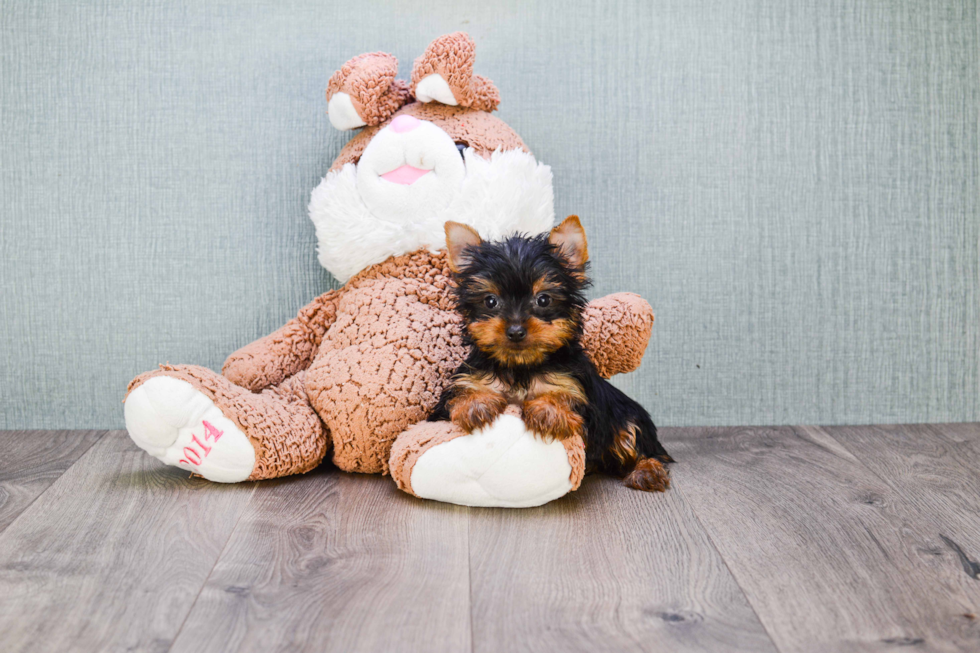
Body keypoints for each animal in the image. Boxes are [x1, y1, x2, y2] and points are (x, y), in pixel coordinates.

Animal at [430, 216, 672, 492]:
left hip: (626, 416)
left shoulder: (576, 390)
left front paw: (548, 411)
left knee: (640, 442)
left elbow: (563, 397)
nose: (515, 331)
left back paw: (648, 470)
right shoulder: (463, 383)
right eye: (490, 301)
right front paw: (476, 403)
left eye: (543, 300)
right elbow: (461, 394)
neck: (521, 366)